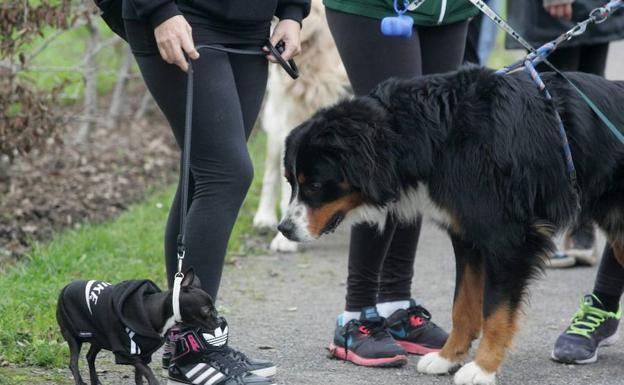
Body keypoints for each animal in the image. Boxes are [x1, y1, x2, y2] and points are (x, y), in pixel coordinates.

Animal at [58, 268, 219, 384]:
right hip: (74, 337)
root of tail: (65, 288)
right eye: (206, 309)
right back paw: (80, 381)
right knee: (73, 363)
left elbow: (139, 375)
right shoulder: (128, 352)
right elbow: (147, 371)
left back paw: (95, 380)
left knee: (90, 357)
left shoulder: (144, 354)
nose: (218, 319)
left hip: (99, 336)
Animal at [278, 67, 624, 382]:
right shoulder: (467, 236)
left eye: (314, 185)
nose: (284, 229)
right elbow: (463, 306)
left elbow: (495, 313)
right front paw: (448, 357)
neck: (437, 132)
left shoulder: (507, 239)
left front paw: (482, 368)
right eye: (291, 182)